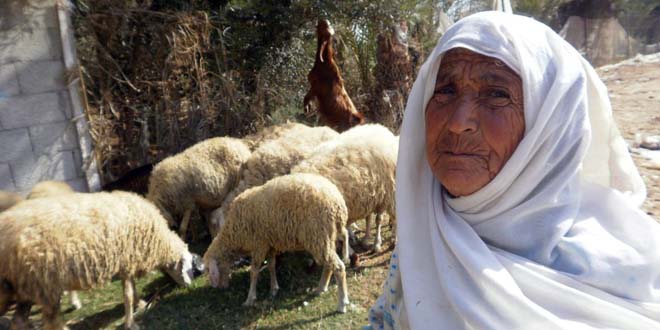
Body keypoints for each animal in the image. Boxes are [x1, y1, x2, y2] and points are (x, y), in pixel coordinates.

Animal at [0, 191, 195, 330]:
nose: (189, 287)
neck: (157, 240)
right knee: (52, 322)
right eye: (189, 269)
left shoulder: (127, 264)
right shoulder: (127, 261)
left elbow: (132, 290)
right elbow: (128, 294)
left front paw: (140, 304)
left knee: (18, 322)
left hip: (25, 288)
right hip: (43, 286)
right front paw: (130, 322)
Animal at [205, 173, 350, 314]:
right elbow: (271, 265)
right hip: (327, 238)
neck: (233, 233)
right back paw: (321, 288)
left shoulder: (259, 244)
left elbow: (254, 272)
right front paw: (274, 288)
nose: (219, 288)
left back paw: (342, 303)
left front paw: (250, 298)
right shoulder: (270, 244)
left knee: (338, 268)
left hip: (318, 236)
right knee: (329, 265)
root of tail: (337, 202)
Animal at [292, 123, 398, 253]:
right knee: (369, 218)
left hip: (385, 193)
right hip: (372, 194)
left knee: (380, 219)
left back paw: (379, 242)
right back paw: (366, 239)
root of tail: (381, 129)